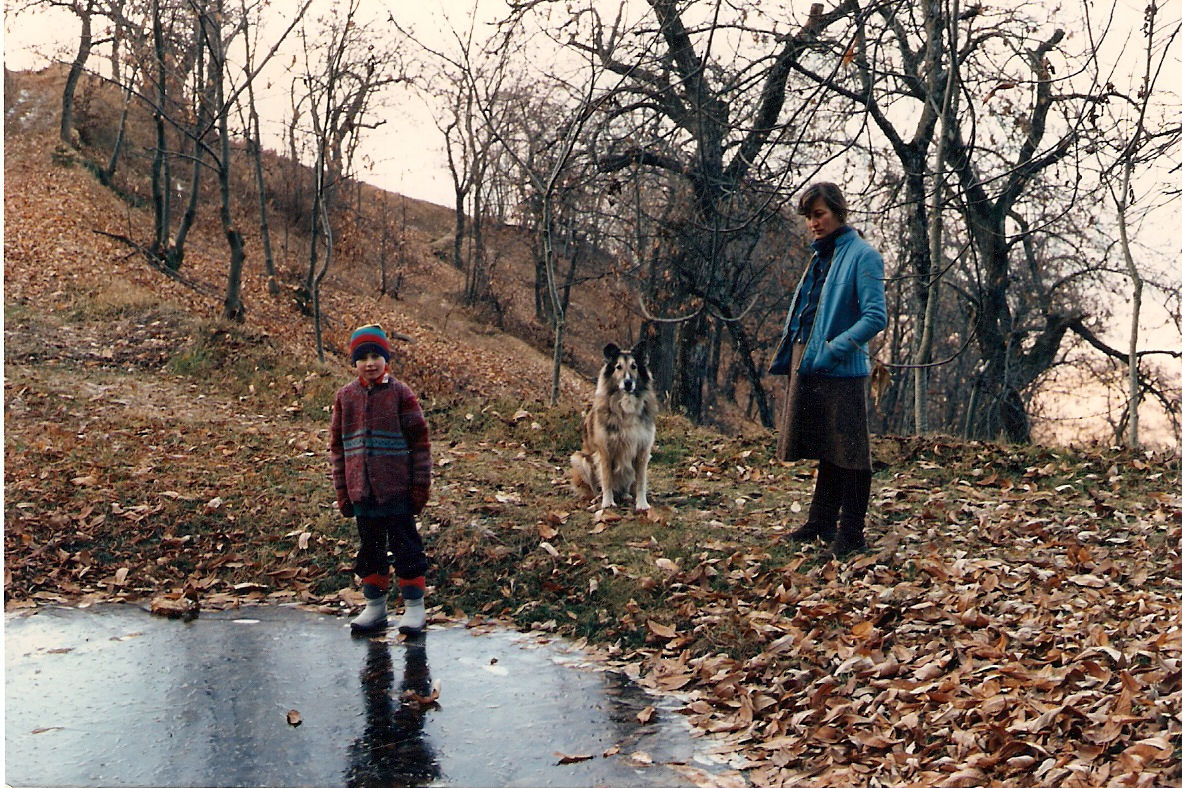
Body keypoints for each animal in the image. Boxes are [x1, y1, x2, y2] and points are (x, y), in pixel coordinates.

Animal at [569, 342, 661, 515]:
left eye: (634, 366)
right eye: (618, 367)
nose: (628, 383)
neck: (627, 404)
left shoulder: (643, 451)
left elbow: (641, 483)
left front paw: (642, 504)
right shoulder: (605, 451)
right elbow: (607, 480)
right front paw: (607, 502)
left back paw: (625, 495)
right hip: (579, 459)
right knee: (594, 488)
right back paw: (598, 498)